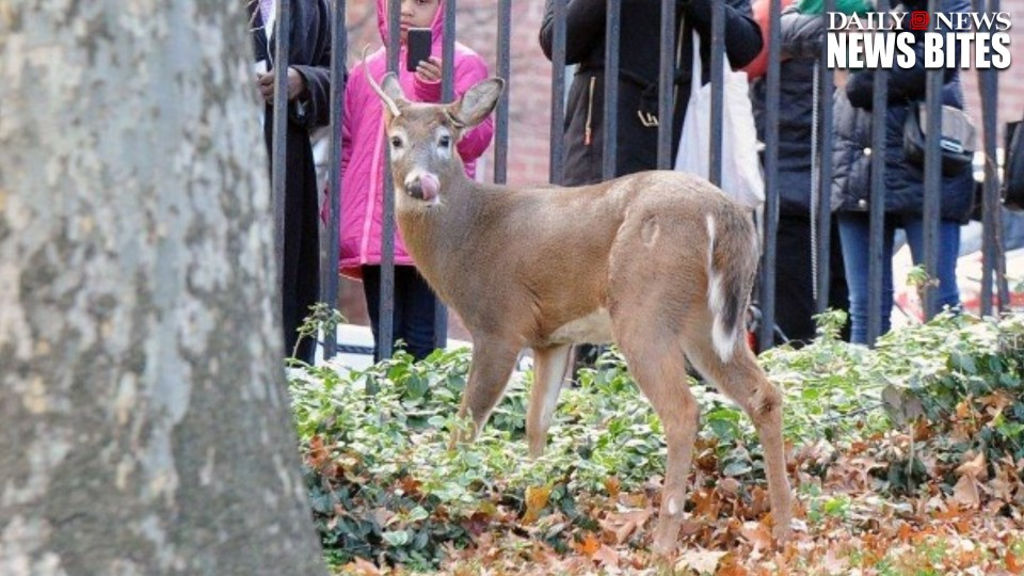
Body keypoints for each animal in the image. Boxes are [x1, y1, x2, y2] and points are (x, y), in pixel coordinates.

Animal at [365, 69, 792, 555]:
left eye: (444, 140)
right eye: (396, 140)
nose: (421, 185)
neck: (468, 234)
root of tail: (723, 213)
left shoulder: (499, 323)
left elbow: (466, 423)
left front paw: (445, 488)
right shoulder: (551, 338)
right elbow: (536, 423)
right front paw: (533, 513)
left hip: (643, 308)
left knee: (682, 411)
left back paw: (663, 545)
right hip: (709, 322)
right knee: (764, 395)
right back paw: (785, 530)